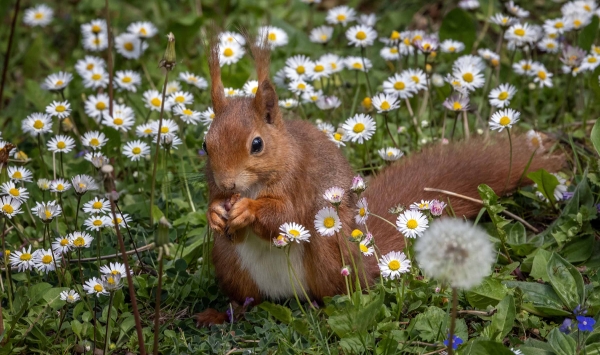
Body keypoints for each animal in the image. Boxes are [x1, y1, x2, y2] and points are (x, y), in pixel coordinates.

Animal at [197, 34, 564, 326]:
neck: (256, 183)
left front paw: (248, 210)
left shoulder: (298, 182)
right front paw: (215, 212)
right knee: (246, 301)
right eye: (205, 144)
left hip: (328, 255)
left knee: (333, 290)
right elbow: (221, 212)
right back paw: (221, 314)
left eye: (257, 144)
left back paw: (326, 309)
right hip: (230, 264)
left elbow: (284, 215)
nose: (228, 184)